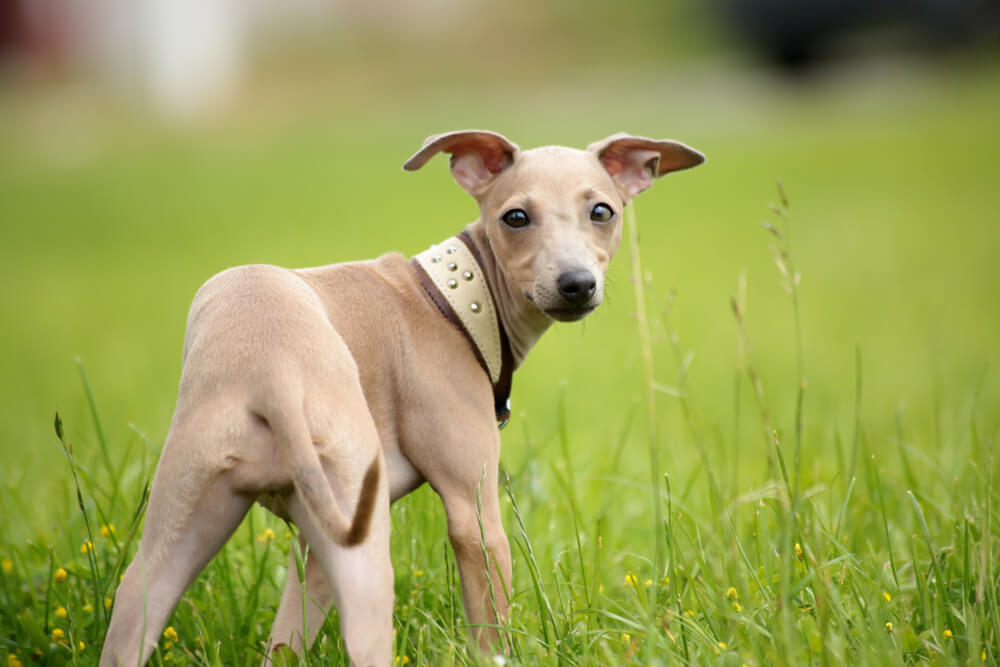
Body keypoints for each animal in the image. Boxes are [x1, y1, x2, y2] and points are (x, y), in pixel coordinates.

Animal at [99, 130, 704, 667]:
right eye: (515, 217)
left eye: (603, 211)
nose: (577, 285)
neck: (456, 301)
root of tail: (269, 372)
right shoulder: (475, 519)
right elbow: (492, 636)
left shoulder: (314, 553)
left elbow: (287, 636)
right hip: (368, 559)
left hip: (182, 533)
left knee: (141, 603)